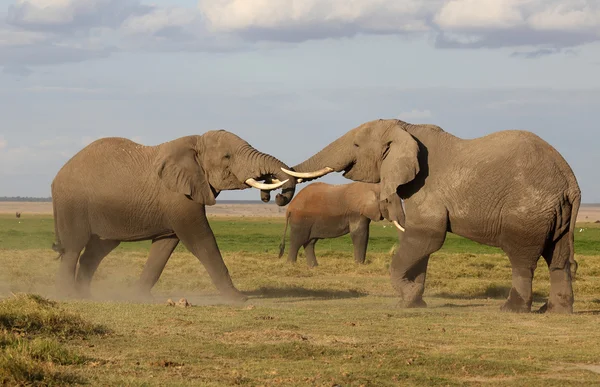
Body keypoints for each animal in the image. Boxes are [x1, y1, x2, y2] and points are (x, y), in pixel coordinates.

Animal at [52, 130, 298, 304]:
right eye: (227, 156)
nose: (273, 196)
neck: (195, 143)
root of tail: (57, 177)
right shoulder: (178, 197)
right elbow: (200, 239)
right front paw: (239, 299)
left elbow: (165, 246)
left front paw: (141, 297)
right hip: (72, 204)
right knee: (74, 248)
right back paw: (69, 295)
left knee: (97, 250)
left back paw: (85, 295)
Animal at [278, 181, 406, 266]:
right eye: (388, 201)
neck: (374, 187)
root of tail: (289, 207)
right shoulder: (356, 212)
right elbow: (359, 234)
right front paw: (359, 265)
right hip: (300, 220)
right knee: (297, 241)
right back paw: (291, 265)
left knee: (310, 242)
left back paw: (314, 266)